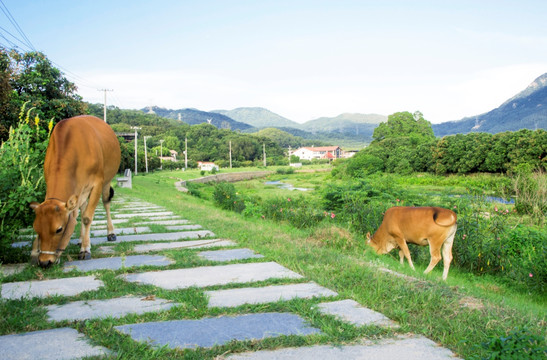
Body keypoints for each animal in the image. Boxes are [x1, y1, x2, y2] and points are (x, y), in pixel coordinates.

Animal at [28, 115, 121, 268]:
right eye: (36, 228)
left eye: (59, 229)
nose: (45, 261)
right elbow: (79, 215)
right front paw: (35, 251)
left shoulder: (97, 183)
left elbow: (87, 218)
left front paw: (85, 250)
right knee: (81, 209)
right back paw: (81, 239)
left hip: (107, 180)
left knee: (106, 202)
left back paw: (110, 233)